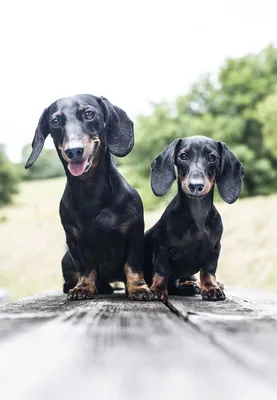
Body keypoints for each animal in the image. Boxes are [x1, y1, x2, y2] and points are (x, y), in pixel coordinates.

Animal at [24, 94, 152, 300]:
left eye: (89, 114)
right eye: (55, 121)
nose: (74, 151)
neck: (92, 193)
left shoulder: (135, 233)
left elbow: (132, 266)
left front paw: (138, 288)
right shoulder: (74, 241)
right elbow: (86, 267)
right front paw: (83, 287)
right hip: (66, 259)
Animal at [143, 136, 243, 302]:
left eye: (212, 157)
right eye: (183, 156)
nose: (196, 186)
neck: (197, 216)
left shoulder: (215, 249)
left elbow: (208, 271)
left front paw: (211, 288)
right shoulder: (161, 247)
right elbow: (162, 271)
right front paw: (157, 289)